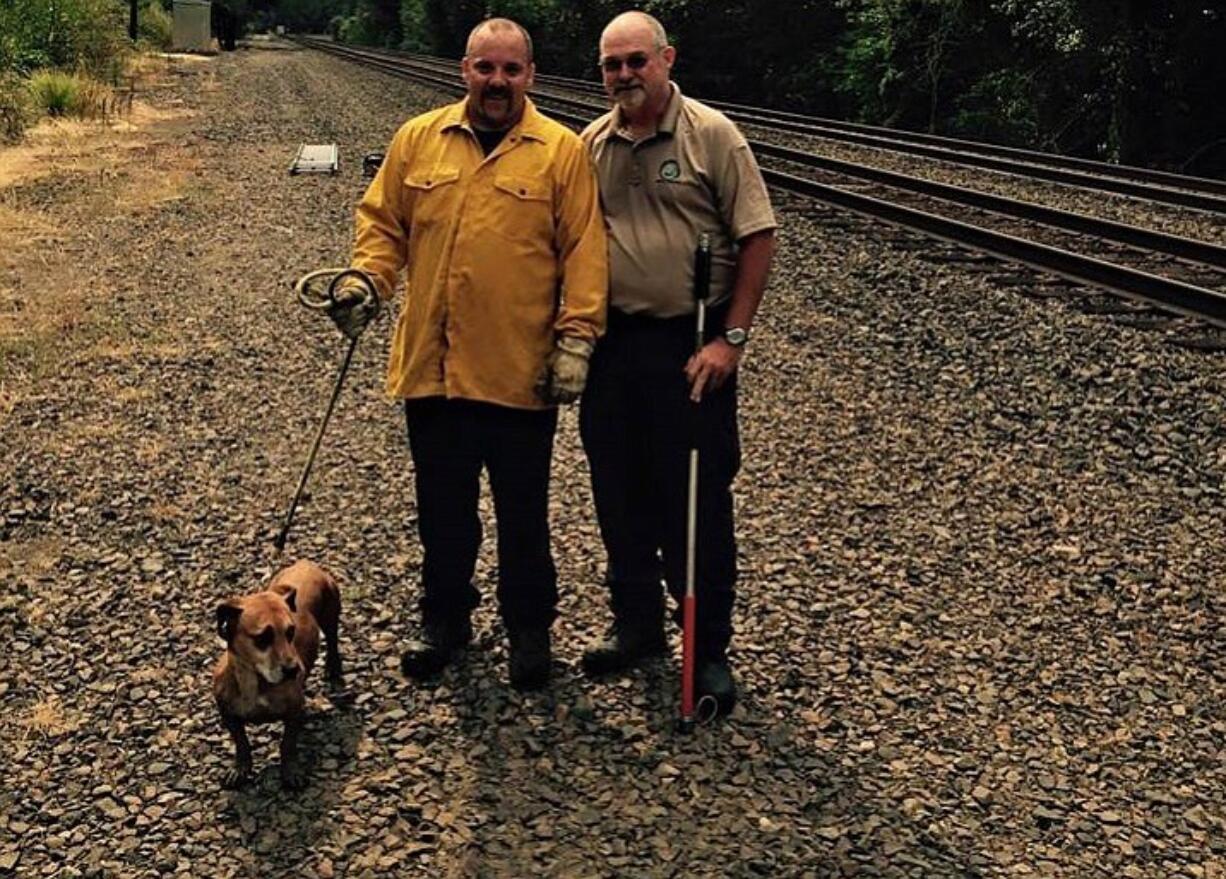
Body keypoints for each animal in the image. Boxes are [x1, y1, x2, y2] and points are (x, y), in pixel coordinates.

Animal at [213, 561, 343, 789]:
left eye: (291, 632)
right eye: (262, 638)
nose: (293, 670)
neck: (257, 682)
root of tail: (306, 563)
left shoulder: (294, 711)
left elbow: (287, 745)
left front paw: (290, 771)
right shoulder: (228, 714)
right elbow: (241, 742)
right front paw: (241, 768)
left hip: (331, 615)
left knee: (333, 639)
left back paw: (332, 666)